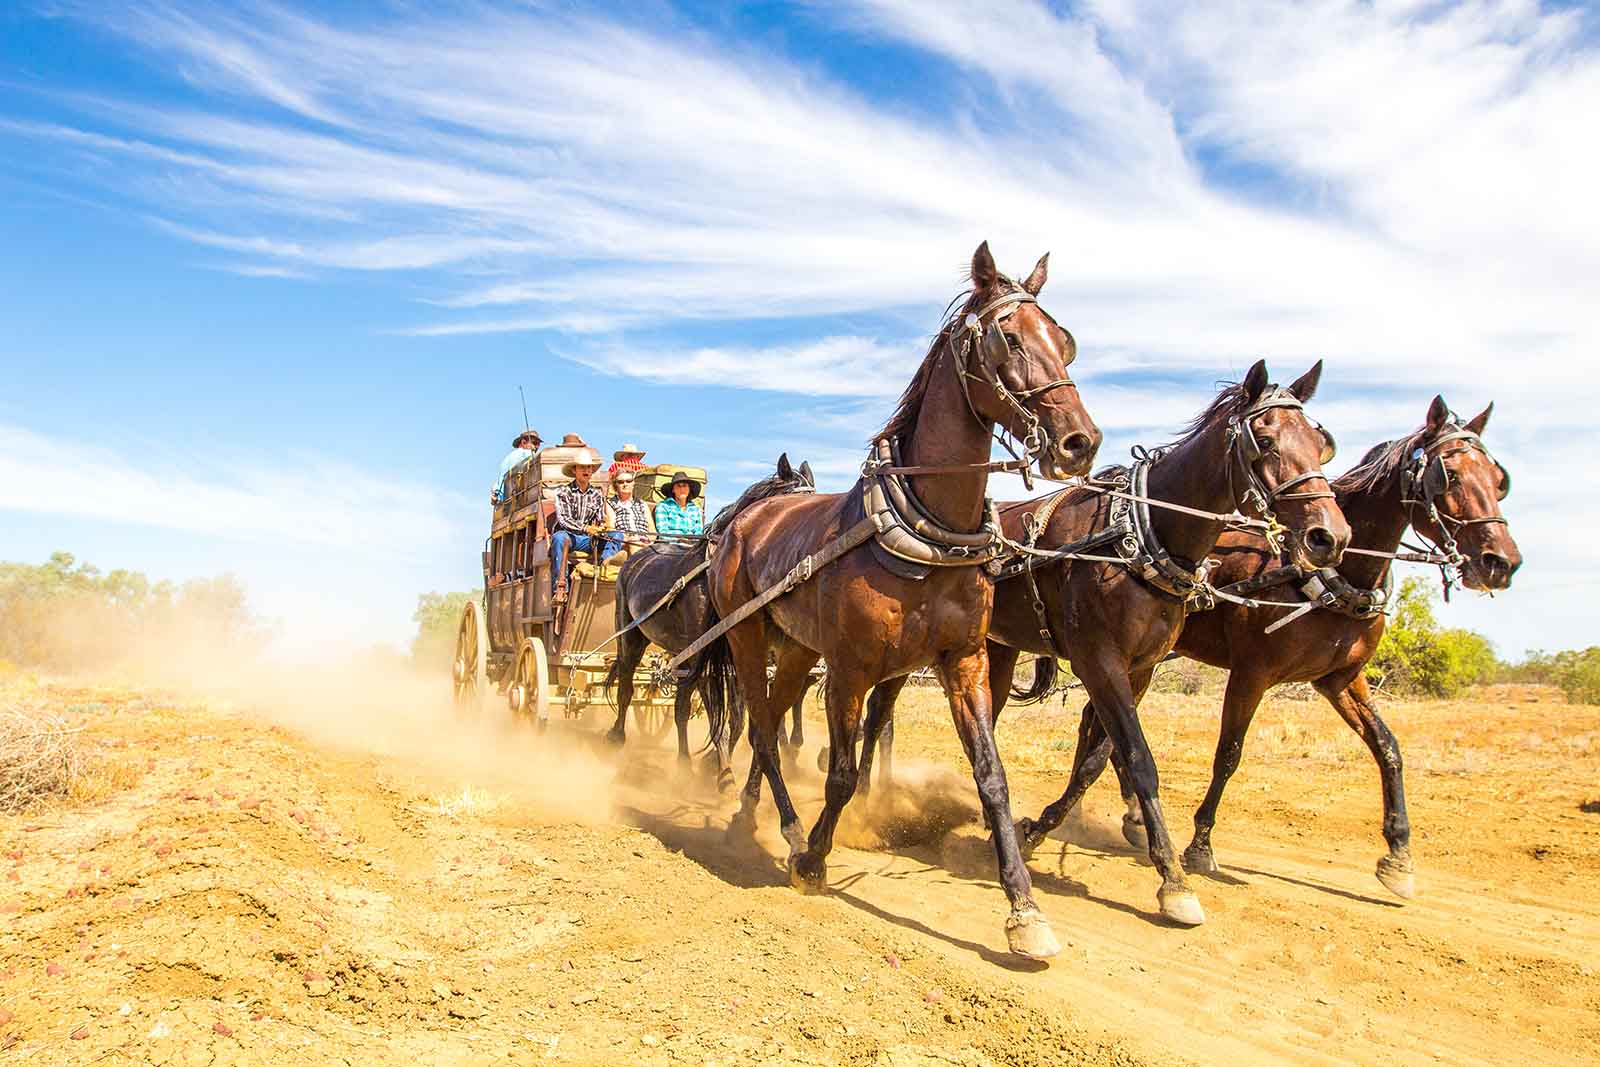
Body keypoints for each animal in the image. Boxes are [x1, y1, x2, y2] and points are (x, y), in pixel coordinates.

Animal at [604, 454, 819, 790]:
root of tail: (635, 558)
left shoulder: (737, 657)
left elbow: (739, 717)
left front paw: (712, 766)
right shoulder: (710, 660)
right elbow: (718, 715)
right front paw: (720, 771)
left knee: (678, 703)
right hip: (632, 636)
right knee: (626, 684)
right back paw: (617, 736)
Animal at [710, 244, 1100, 959]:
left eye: (1065, 342)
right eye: (1008, 338)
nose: (1080, 442)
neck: (927, 532)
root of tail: (747, 519)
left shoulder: (965, 661)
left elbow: (992, 779)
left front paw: (1024, 910)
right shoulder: (849, 671)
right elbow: (839, 773)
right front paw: (813, 859)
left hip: (797, 652)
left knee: (769, 723)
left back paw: (750, 817)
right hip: (750, 637)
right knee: (761, 729)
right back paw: (785, 827)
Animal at [857, 361, 1344, 927]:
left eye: (1320, 443)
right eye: (1263, 440)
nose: (1329, 536)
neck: (1145, 536)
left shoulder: (1139, 670)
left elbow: (1099, 758)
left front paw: (1037, 828)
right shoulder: (1099, 660)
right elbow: (1139, 760)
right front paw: (1173, 880)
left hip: (996, 650)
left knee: (986, 716)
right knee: (879, 712)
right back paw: (867, 795)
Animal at [1062, 396, 1523, 895]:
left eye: (1497, 479)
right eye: (1449, 475)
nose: (1501, 562)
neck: (1334, 577)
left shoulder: (1340, 680)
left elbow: (1388, 748)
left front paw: (1398, 855)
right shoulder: (1252, 674)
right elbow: (1228, 755)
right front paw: (1200, 845)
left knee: (1096, 724)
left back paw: (1122, 815)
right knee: (1101, 728)